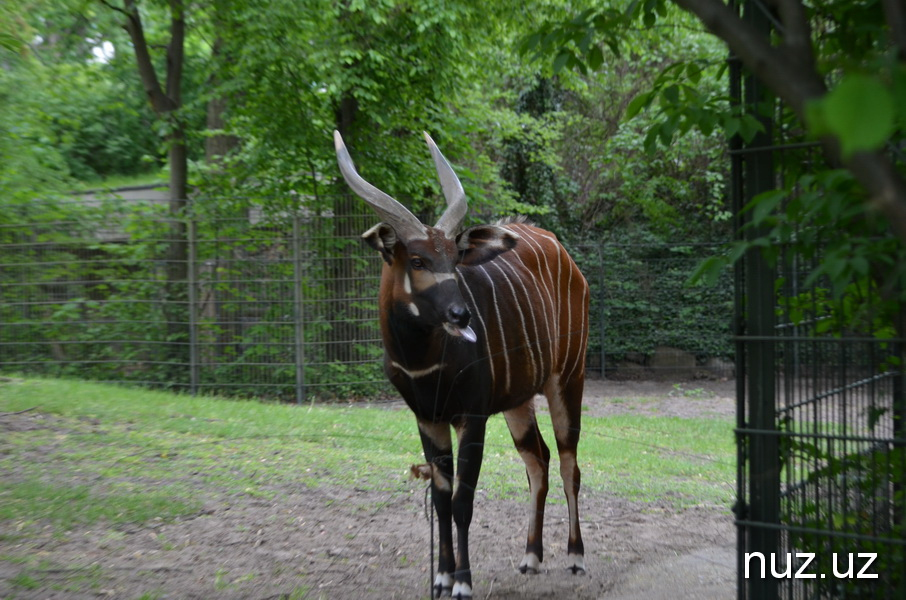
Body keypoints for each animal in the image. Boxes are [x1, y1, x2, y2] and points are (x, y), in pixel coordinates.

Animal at [332, 129, 588, 596]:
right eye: (417, 260)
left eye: (455, 259)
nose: (461, 315)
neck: (425, 364)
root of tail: (564, 255)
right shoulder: (428, 419)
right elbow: (440, 500)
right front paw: (441, 578)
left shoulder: (471, 416)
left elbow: (462, 500)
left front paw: (463, 582)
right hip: (517, 402)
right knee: (537, 460)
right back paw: (530, 556)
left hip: (567, 379)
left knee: (567, 462)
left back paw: (576, 557)